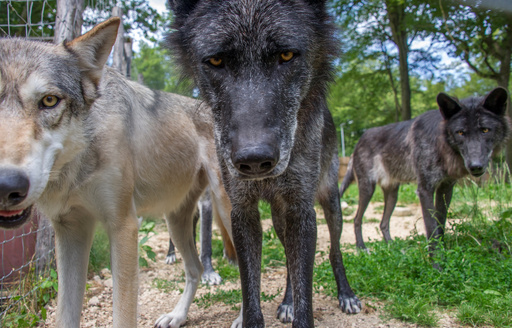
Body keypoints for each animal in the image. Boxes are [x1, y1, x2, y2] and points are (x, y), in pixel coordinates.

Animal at [0, 18, 232, 328]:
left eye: (49, 101)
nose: (6, 186)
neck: (78, 164)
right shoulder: (70, 230)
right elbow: (65, 315)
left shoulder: (123, 226)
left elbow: (122, 314)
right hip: (175, 220)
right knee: (193, 269)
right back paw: (177, 316)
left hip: (226, 208)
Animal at [167, 0, 360, 326]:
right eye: (216, 60)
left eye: (286, 55)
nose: (255, 160)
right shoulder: (243, 211)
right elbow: (251, 293)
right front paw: (282, 305)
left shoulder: (302, 212)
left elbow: (306, 291)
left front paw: (304, 308)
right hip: (280, 221)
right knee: (288, 260)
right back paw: (288, 301)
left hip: (330, 203)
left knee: (334, 250)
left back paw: (345, 294)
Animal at [338, 88, 510, 251]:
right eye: (460, 132)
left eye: (485, 130)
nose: (475, 166)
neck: (440, 143)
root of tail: (358, 143)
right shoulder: (425, 189)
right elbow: (431, 227)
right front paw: (436, 260)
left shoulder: (445, 188)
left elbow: (440, 224)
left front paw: (442, 252)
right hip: (368, 189)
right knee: (356, 219)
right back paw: (361, 247)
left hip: (393, 194)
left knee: (383, 223)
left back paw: (392, 246)